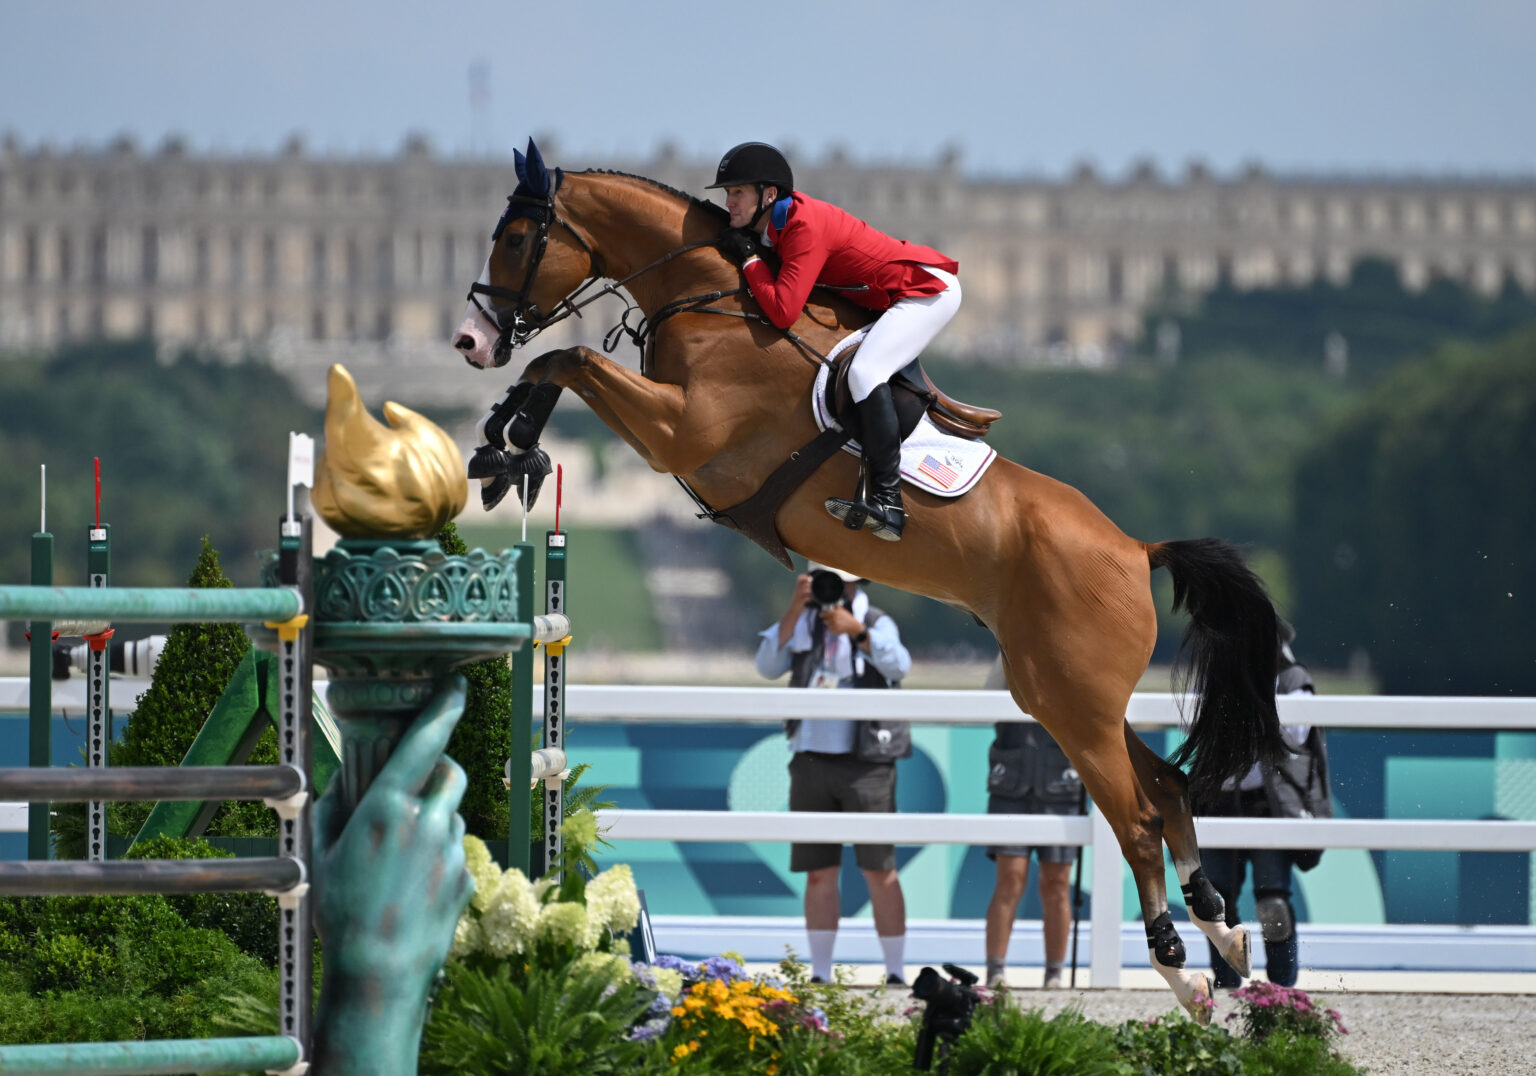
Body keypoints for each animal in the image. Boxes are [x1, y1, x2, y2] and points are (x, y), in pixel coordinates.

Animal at [451, 140, 1286, 1020]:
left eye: (516, 238)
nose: (470, 340)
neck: (713, 301)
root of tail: (1134, 548)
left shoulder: (681, 432)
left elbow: (569, 356)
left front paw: (509, 443)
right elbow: (560, 361)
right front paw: (501, 447)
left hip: (1076, 703)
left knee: (1137, 818)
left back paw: (1184, 971)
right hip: (1063, 693)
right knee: (1168, 786)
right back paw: (1225, 933)